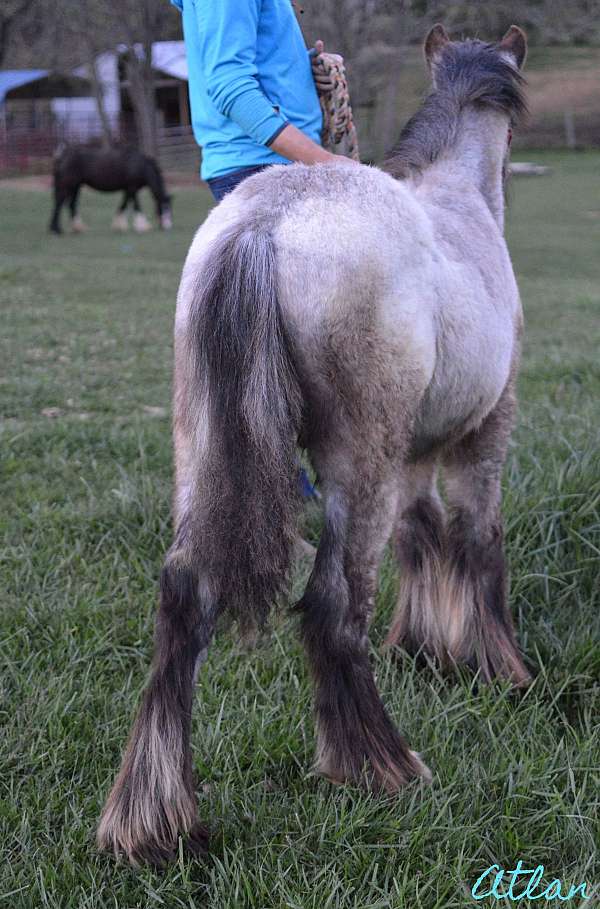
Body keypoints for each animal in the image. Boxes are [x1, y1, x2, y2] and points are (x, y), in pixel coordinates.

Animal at [97, 26, 528, 864]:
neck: (459, 205)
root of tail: (266, 226)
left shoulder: (415, 455)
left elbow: (424, 537)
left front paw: (424, 648)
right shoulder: (483, 432)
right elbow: (477, 540)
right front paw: (498, 665)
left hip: (204, 454)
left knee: (183, 596)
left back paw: (155, 821)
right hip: (355, 466)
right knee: (333, 603)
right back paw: (380, 765)